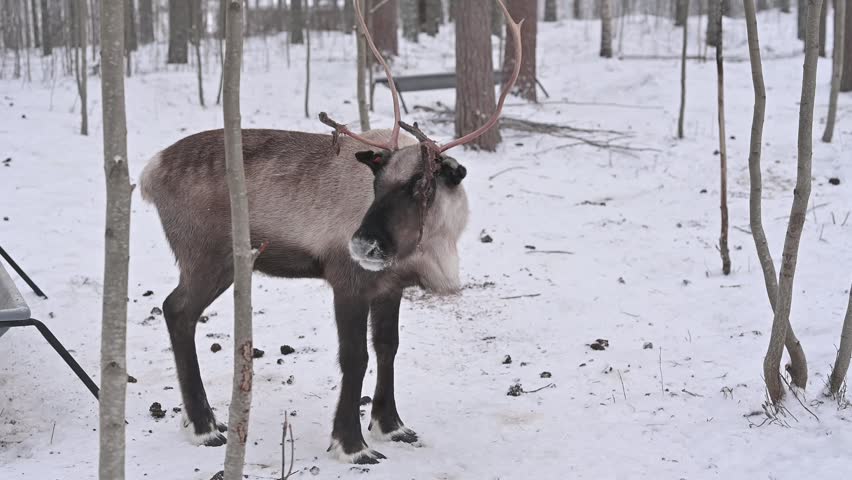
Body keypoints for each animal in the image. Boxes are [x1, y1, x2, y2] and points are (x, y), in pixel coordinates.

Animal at [138, 0, 522, 464]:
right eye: (378, 183)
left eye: (423, 185)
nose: (363, 242)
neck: (430, 247)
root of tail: (149, 173)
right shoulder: (348, 280)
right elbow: (355, 357)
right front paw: (351, 444)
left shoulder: (390, 286)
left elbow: (388, 346)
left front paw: (391, 425)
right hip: (209, 259)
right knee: (177, 310)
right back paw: (204, 426)